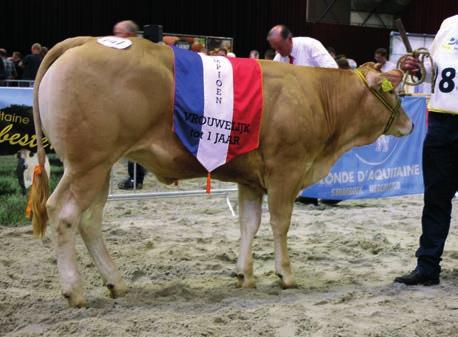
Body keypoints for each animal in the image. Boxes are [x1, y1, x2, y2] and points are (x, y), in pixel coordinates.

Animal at [30, 35, 414, 306]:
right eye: (394, 92)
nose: (410, 125)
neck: (318, 96)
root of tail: (85, 41)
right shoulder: (286, 170)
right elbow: (280, 224)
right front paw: (285, 275)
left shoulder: (250, 179)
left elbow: (249, 224)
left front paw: (244, 275)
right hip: (87, 164)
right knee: (63, 213)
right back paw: (75, 291)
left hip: (102, 166)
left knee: (90, 220)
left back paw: (117, 282)